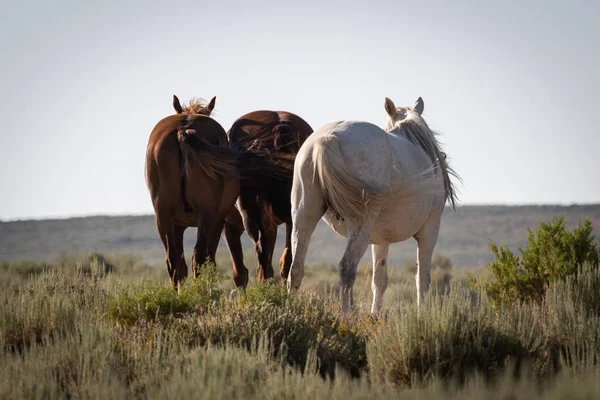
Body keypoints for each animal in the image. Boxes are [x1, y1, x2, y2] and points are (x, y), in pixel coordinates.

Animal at [221, 109, 314, 286]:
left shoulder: (230, 227)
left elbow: (240, 273)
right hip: (292, 217)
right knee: (286, 263)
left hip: (254, 219)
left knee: (264, 261)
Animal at [288, 97, 458, 312]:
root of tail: (327, 138)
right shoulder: (430, 230)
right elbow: (422, 280)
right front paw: (422, 314)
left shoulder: (380, 240)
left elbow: (379, 281)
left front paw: (375, 314)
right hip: (360, 226)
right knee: (346, 268)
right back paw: (346, 315)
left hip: (304, 218)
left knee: (296, 268)